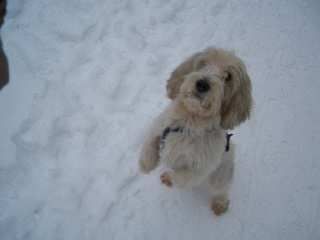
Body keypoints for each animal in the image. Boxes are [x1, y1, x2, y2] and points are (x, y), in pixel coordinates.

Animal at [139, 47, 252, 216]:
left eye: (228, 76)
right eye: (203, 63)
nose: (202, 84)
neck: (190, 122)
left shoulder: (201, 168)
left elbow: (182, 177)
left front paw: (169, 176)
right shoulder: (160, 127)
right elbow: (149, 143)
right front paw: (146, 164)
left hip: (221, 173)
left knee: (222, 189)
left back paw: (220, 204)